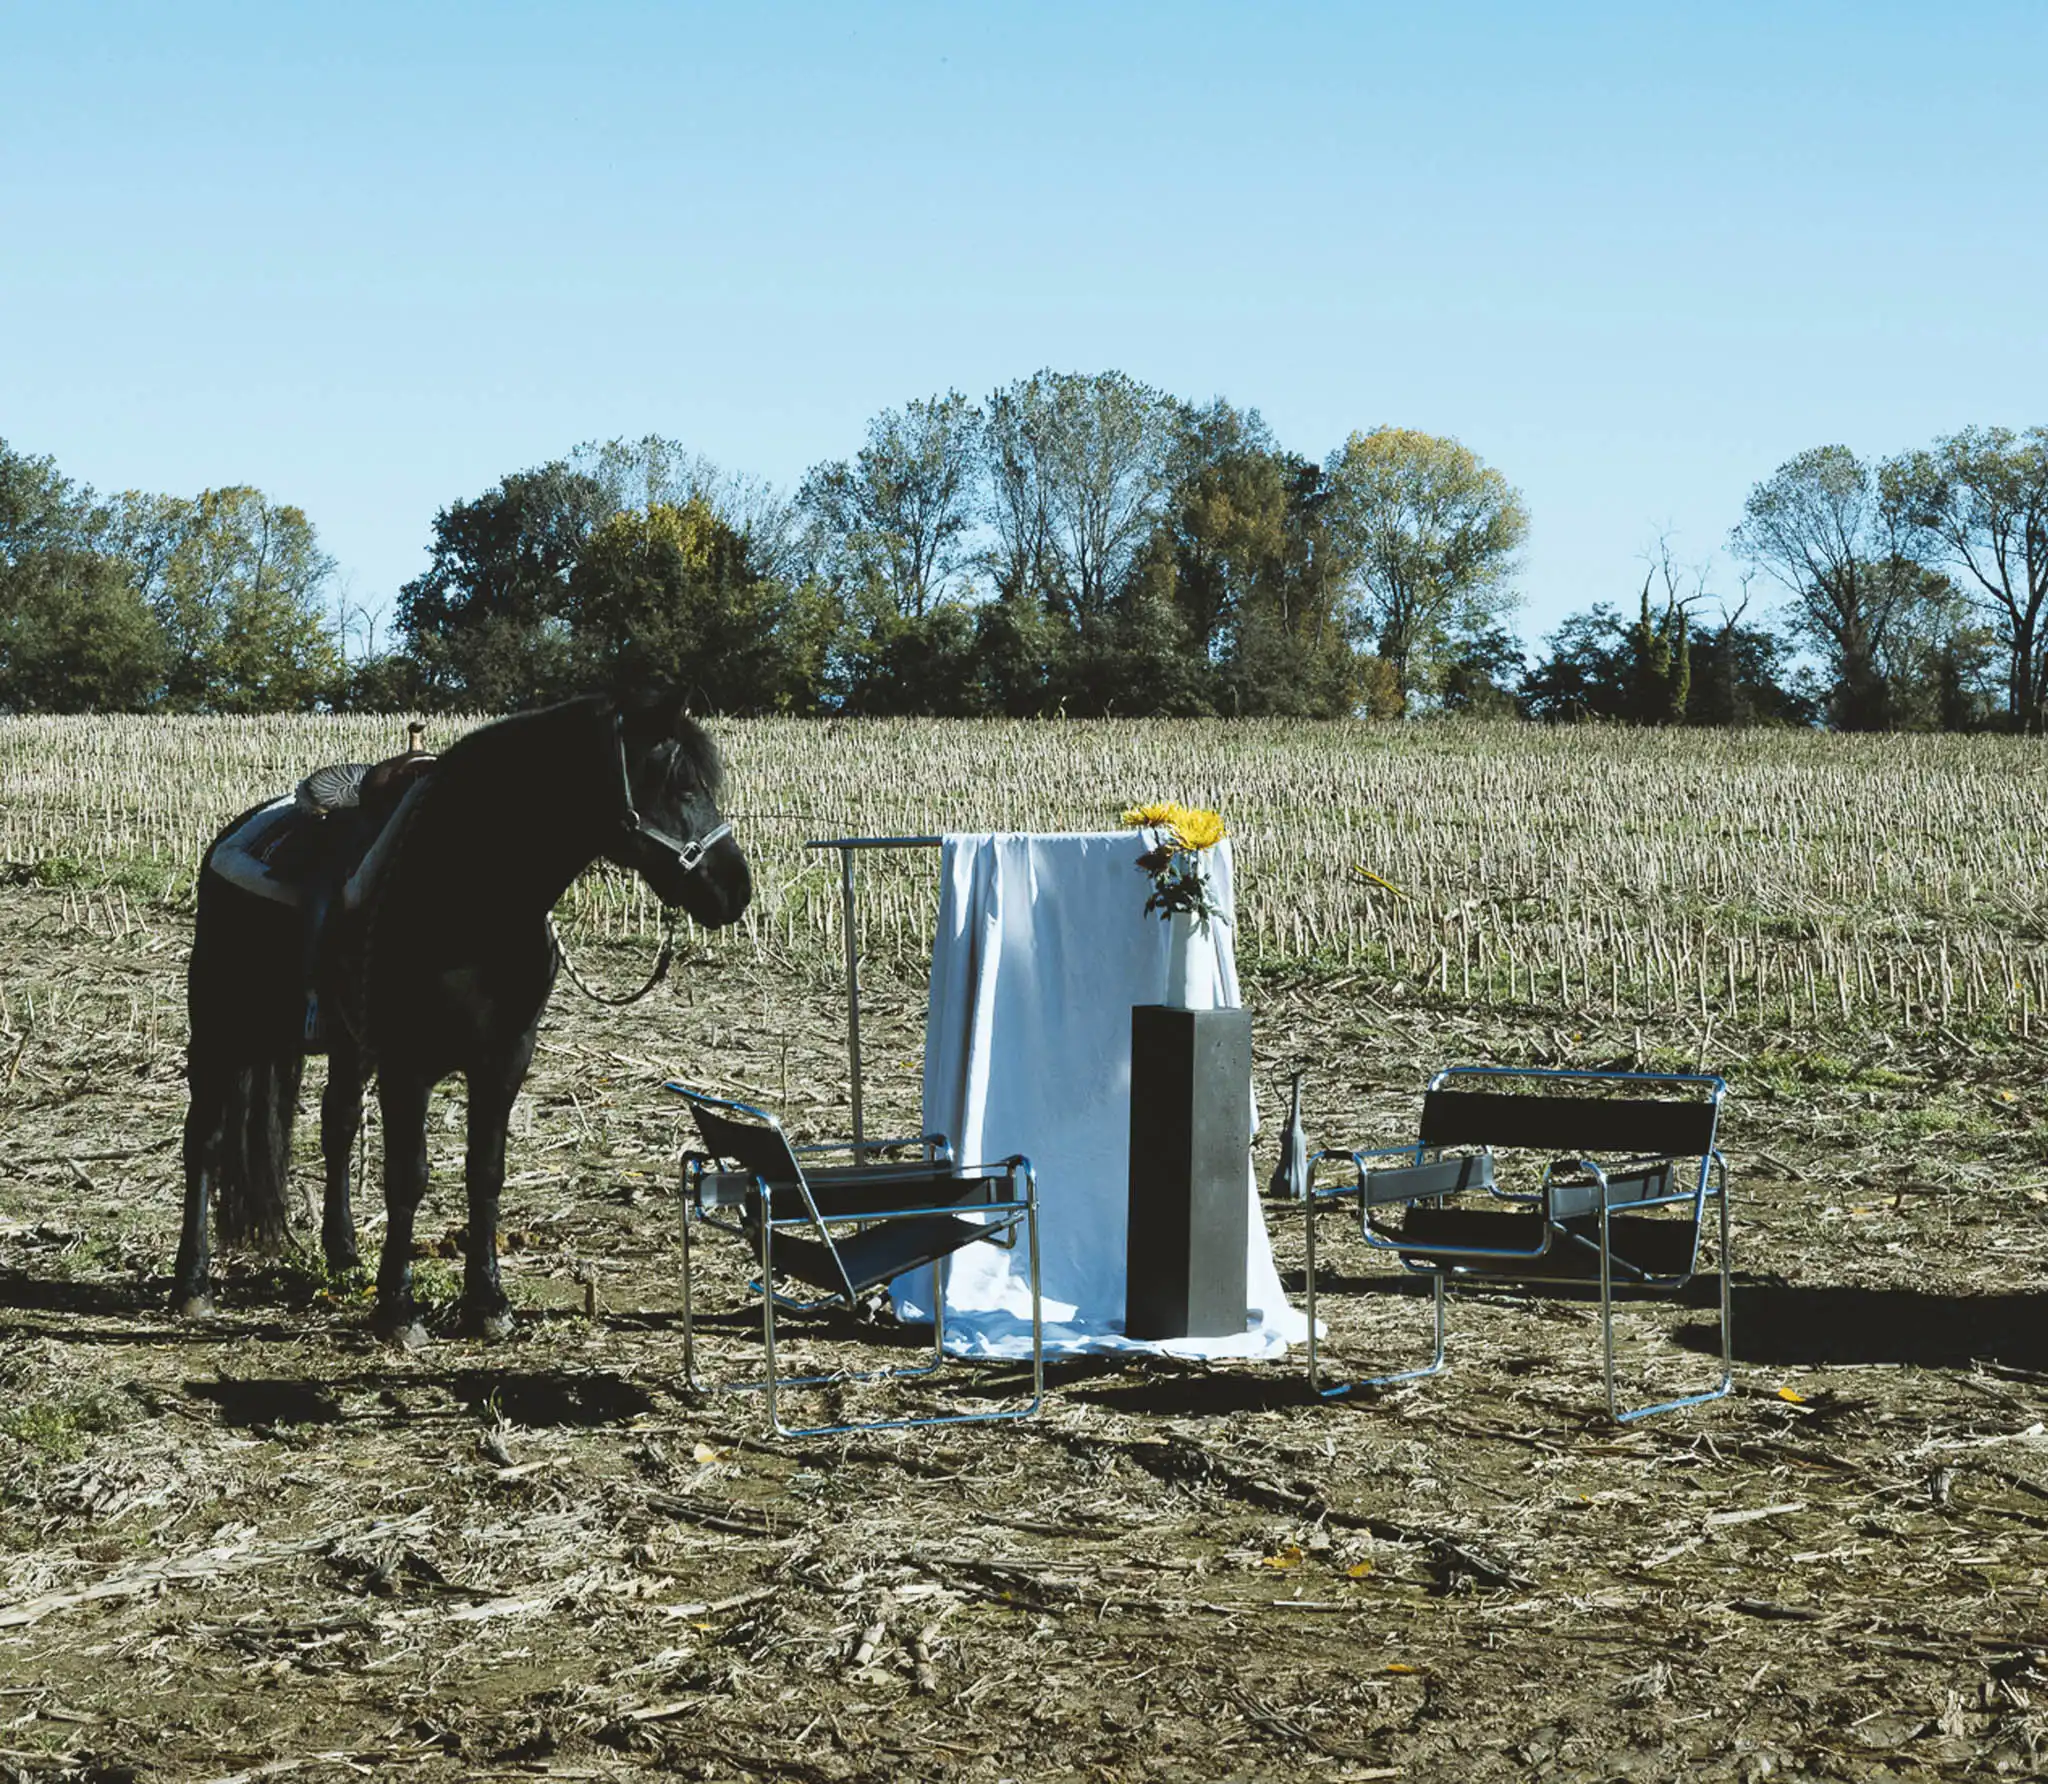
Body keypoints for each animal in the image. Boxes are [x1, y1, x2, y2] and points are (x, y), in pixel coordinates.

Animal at [172, 688, 752, 1343]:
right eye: (681, 786)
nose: (736, 889)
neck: (470, 896)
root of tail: (235, 833)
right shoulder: (408, 1065)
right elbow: (408, 1177)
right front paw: (398, 1309)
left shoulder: (504, 1058)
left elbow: (486, 1172)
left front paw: (487, 1303)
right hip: (219, 1030)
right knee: (205, 1140)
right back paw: (192, 1284)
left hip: (347, 1045)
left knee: (337, 1125)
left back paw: (343, 1255)